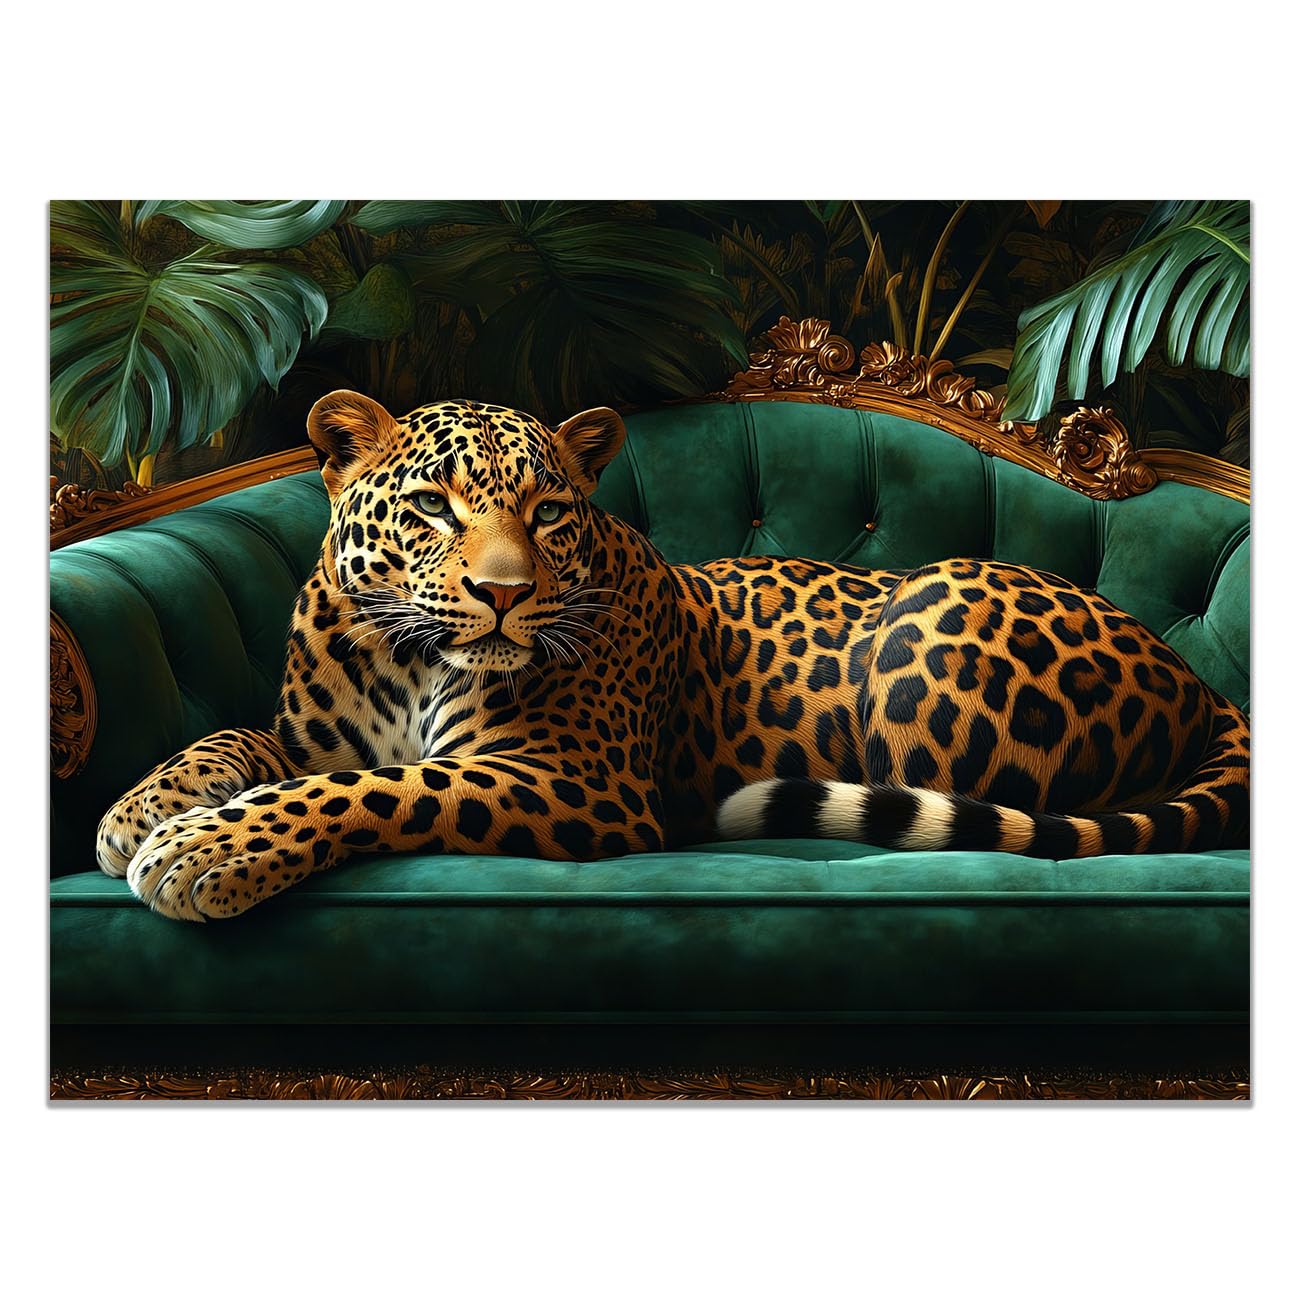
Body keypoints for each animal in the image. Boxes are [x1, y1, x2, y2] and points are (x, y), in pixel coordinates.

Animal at [96, 390, 1250, 921]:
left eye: (548, 512)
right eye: (431, 506)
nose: (504, 595)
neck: (404, 663)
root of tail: (1196, 678)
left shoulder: (576, 779)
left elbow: (387, 791)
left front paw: (207, 852)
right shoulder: (309, 735)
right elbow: (236, 739)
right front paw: (140, 811)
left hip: (930, 613)